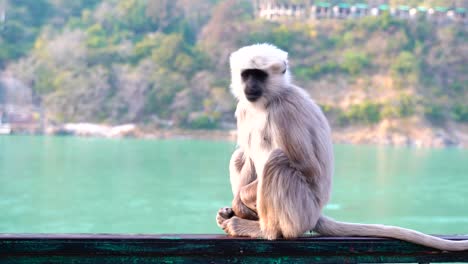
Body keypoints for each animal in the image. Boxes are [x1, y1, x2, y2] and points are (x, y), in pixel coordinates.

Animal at [218, 42, 468, 250]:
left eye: (259, 75)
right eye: (247, 75)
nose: (251, 85)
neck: (267, 101)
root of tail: (316, 214)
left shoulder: (284, 110)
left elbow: (306, 167)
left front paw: (241, 200)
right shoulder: (244, 108)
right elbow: (249, 157)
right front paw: (238, 204)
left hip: (300, 211)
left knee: (277, 161)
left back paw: (264, 230)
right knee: (241, 155)